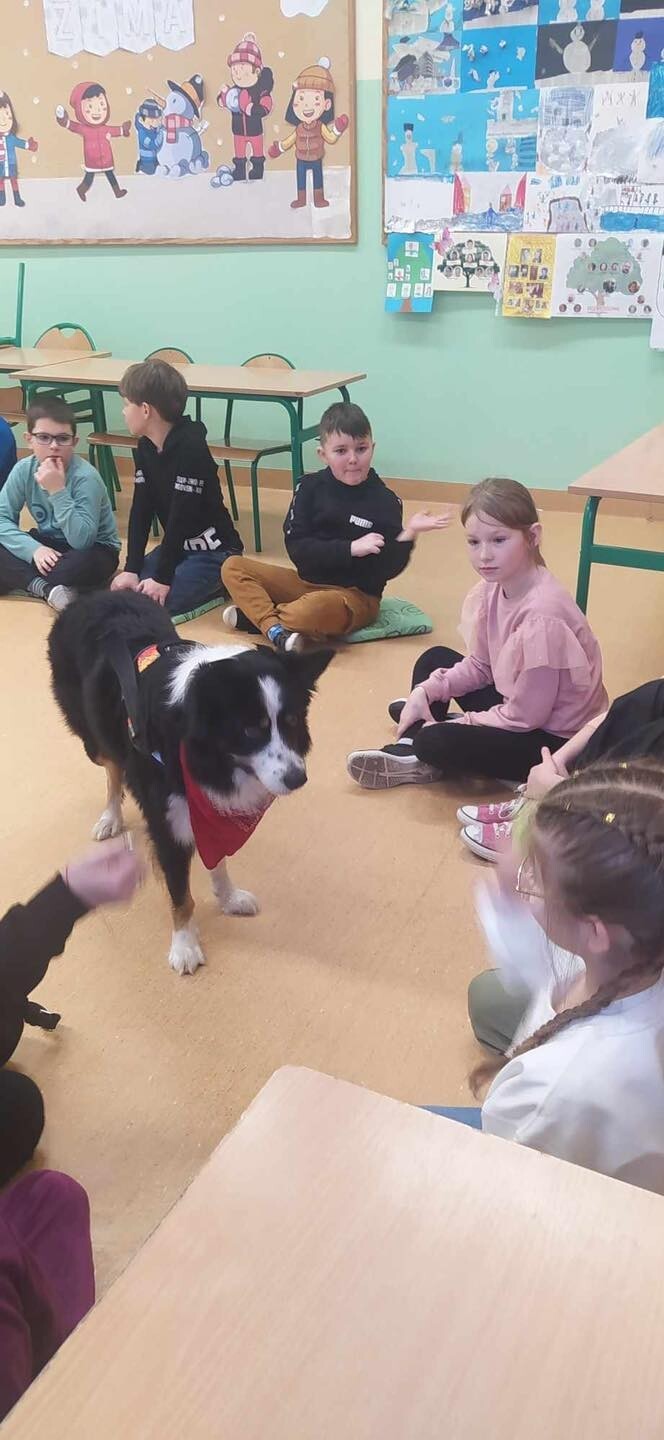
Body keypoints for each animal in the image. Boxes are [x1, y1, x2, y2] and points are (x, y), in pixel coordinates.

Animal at [48, 591, 333, 975]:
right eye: (250, 729)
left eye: (290, 722)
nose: (297, 778)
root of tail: (94, 595)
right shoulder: (167, 822)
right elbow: (180, 893)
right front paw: (184, 945)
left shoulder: (212, 810)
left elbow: (218, 858)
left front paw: (228, 897)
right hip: (94, 739)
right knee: (112, 770)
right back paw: (110, 818)